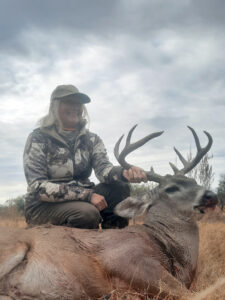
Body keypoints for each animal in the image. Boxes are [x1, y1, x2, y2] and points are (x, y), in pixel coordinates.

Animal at [0, 125, 218, 298]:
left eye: (194, 180)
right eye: (171, 188)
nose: (211, 196)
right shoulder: (128, 260)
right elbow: (194, 294)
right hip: (12, 248)